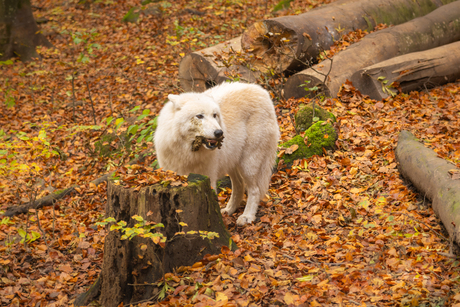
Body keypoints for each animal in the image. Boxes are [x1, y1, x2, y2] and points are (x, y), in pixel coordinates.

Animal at [154, 82, 280, 226]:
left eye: (214, 115)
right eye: (199, 116)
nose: (219, 132)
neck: (187, 152)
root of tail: (262, 91)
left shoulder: (208, 178)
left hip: (248, 163)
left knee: (254, 190)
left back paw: (247, 216)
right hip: (232, 161)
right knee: (239, 185)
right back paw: (229, 210)